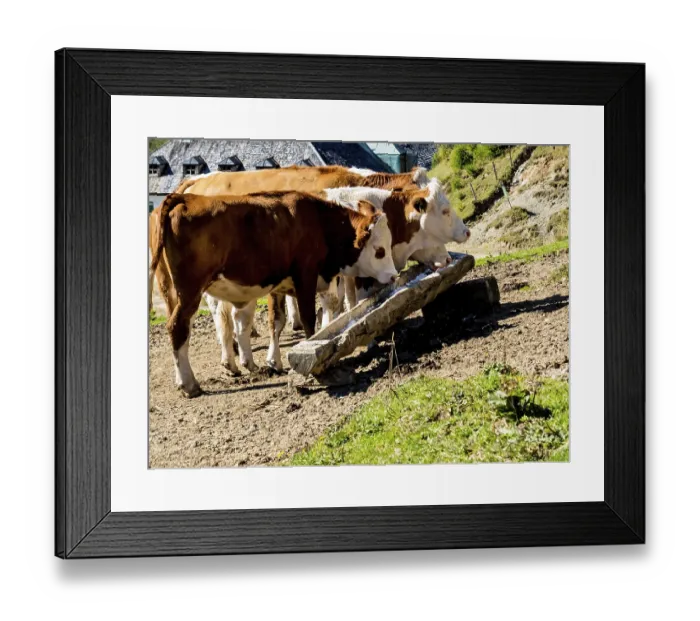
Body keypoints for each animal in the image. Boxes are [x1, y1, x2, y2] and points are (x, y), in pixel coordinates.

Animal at [149, 191, 397, 397]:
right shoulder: (305, 276)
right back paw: (189, 384)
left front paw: (273, 361)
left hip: (177, 291)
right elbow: (308, 319)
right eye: (379, 251)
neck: (319, 223)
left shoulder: (279, 286)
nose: (394, 276)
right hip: (190, 291)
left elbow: (277, 321)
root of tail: (185, 198)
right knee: (178, 327)